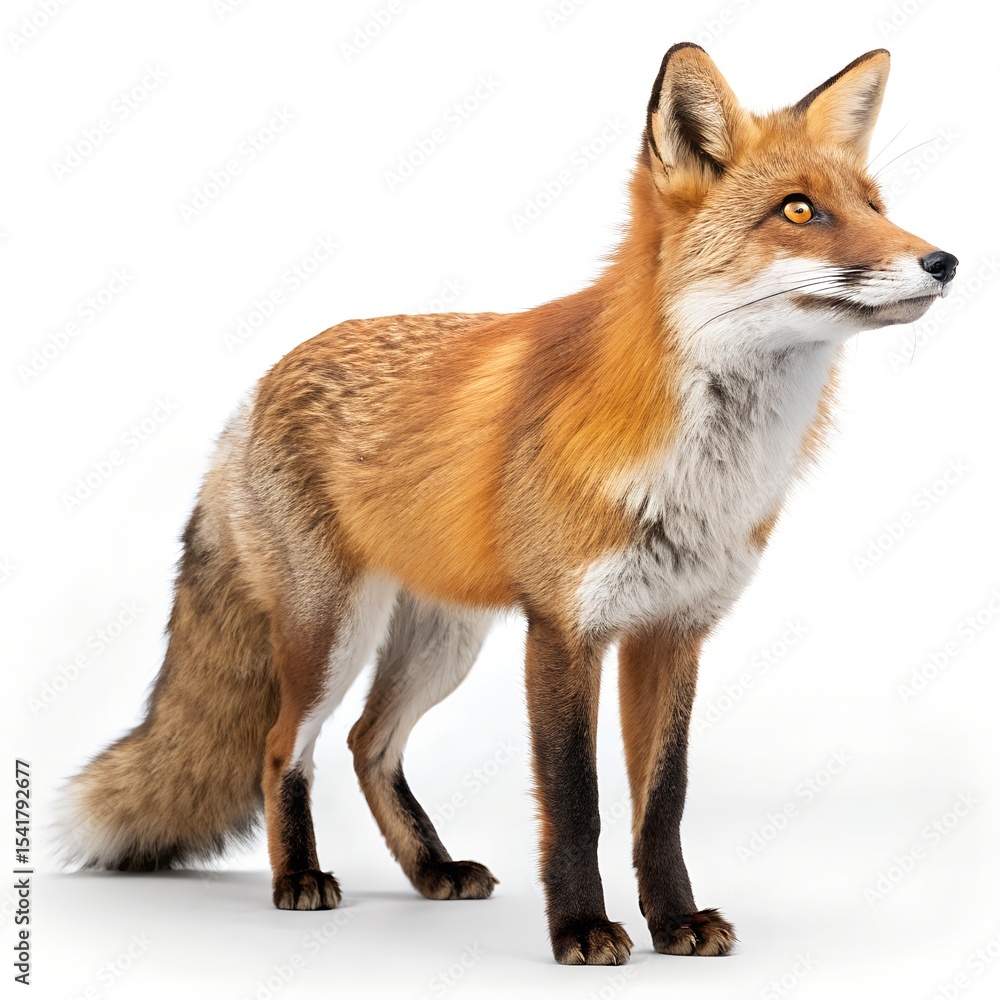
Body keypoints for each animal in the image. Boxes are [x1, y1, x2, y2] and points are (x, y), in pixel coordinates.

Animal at [60, 43, 957, 965]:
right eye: (800, 210)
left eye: (876, 206)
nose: (944, 261)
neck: (702, 470)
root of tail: (257, 387)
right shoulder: (563, 631)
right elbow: (575, 802)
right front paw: (582, 929)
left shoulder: (673, 630)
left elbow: (661, 804)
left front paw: (674, 922)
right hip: (331, 636)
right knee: (284, 749)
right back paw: (298, 877)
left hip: (443, 643)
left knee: (367, 743)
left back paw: (431, 868)